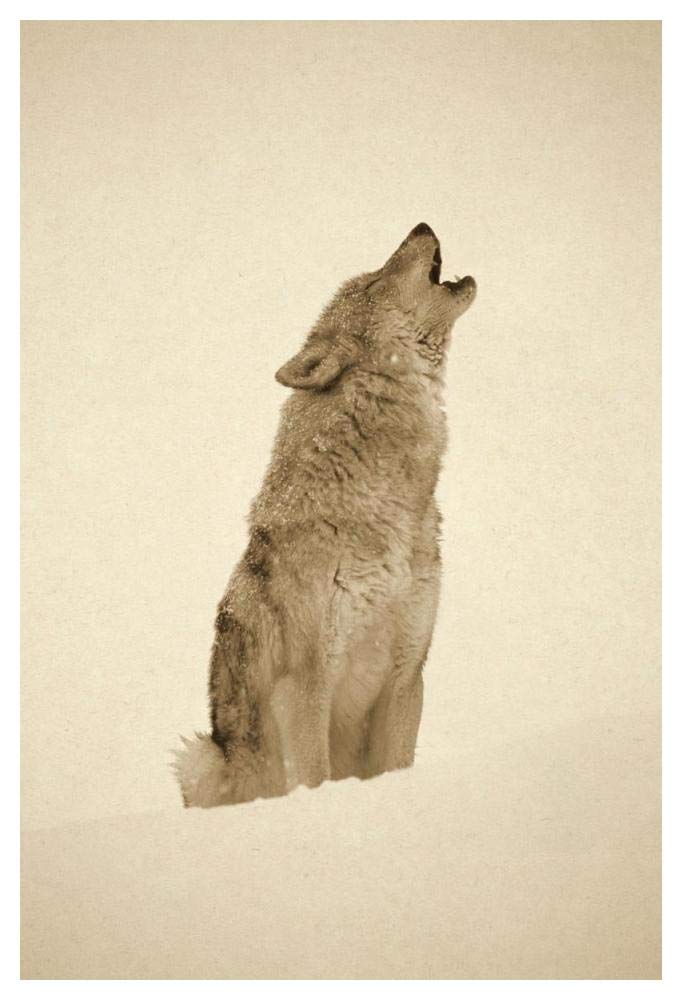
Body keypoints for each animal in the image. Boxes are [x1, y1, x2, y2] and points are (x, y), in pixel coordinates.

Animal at [174, 223, 476, 807]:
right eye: (375, 280)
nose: (421, 225)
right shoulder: (306, 686)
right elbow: (313, 775)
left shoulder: (407, 675)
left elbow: (397, 765)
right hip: (200, 757)